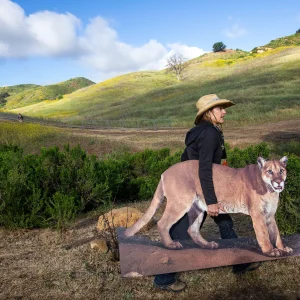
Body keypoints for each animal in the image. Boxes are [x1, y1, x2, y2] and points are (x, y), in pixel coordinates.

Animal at [124, 156, 292, 256]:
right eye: (269, 171)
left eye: (281, 170)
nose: (279, 182)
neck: (270, 191)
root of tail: (164, 172)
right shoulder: (257, 214)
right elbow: (264, 233)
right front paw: (270, 251)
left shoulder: (269, 215)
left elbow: (276, 233)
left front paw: (282, 248)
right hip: (179, 203)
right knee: (162, 223)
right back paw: (171, 245)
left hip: (198, 208)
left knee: (191, 229)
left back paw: (207, 245)